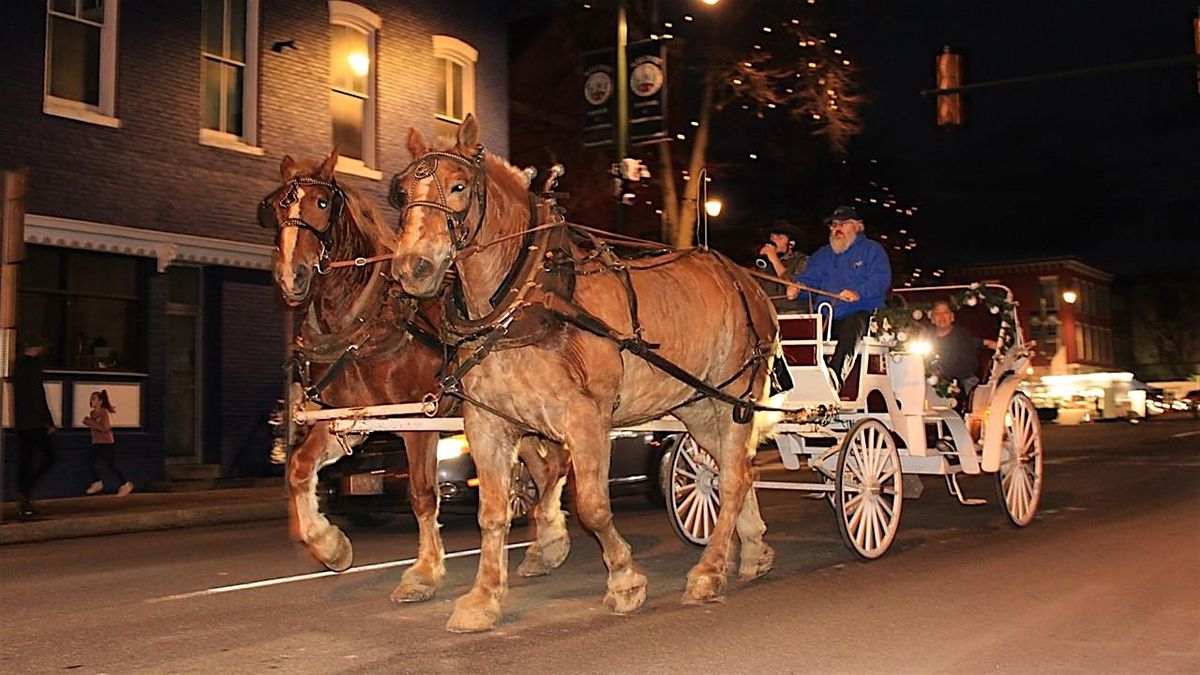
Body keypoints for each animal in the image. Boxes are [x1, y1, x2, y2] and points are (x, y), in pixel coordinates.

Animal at [258, 151, 571, 598]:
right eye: (276, 207)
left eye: (321, 203)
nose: (291, 275)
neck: (368, 318)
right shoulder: (350, 421)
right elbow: (300, 468)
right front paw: (330, 545)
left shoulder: (417, 423)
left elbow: (423, 494)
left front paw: (424, 572)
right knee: (548, 469)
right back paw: (546, 545)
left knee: (555, 466)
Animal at [384, 117, 777, 629]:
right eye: (403, 193)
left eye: (458, 186)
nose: (413, 267)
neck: (525, 298)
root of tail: (749, 282)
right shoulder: (487, 423)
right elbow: (493, 513)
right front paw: (483, 598)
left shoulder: (586, 419)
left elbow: (591, 506)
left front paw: (626, 580)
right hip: (697, 407)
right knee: (740, 471)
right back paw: (753, 551)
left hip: (734, 400)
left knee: (730, 479)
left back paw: (709, 571)